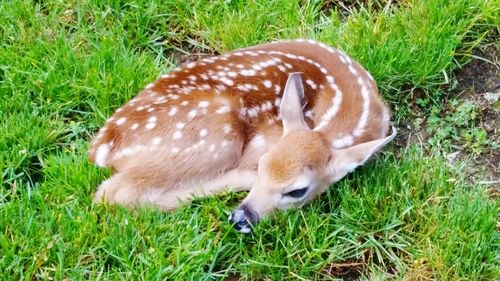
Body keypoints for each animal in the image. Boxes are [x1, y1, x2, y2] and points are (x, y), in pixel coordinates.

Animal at [89, 39, 394, 232]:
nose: (240, 218)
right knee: (113, 192)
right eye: (261, 166)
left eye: (297, 190)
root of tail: (103, 146)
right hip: (215, 132)